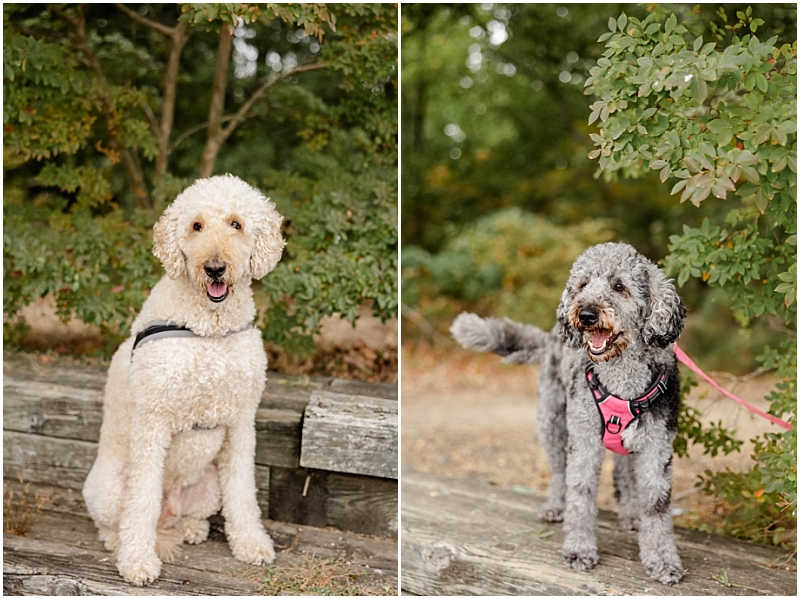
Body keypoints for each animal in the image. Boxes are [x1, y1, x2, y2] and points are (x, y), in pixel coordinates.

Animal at [82, 173, 284, 584]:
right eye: (196, 226)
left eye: (236, 223)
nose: (214, 268)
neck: (208, 329)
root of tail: (170, 508)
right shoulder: (152, 422)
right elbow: (142, 500)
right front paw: (137, 562)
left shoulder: (241, 422)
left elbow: (244, 492)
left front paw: (251, 543)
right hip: (107, 489)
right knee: (117, 519)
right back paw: (118, 541)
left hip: (208, 486)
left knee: (192, 514)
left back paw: (191, 527)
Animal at [450, 243, 688, 584]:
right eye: (583, 284)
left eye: (619, 286)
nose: (586, 314)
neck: (622, 381)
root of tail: (552, 335)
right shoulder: (584, 441)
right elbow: (580, 494)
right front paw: (579, 549)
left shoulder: (657, 447)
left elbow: (657, 506)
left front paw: (663, 561)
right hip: (552, 424)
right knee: (559, 472)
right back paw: (556, 506)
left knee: (623, 474)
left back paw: (631, 513)